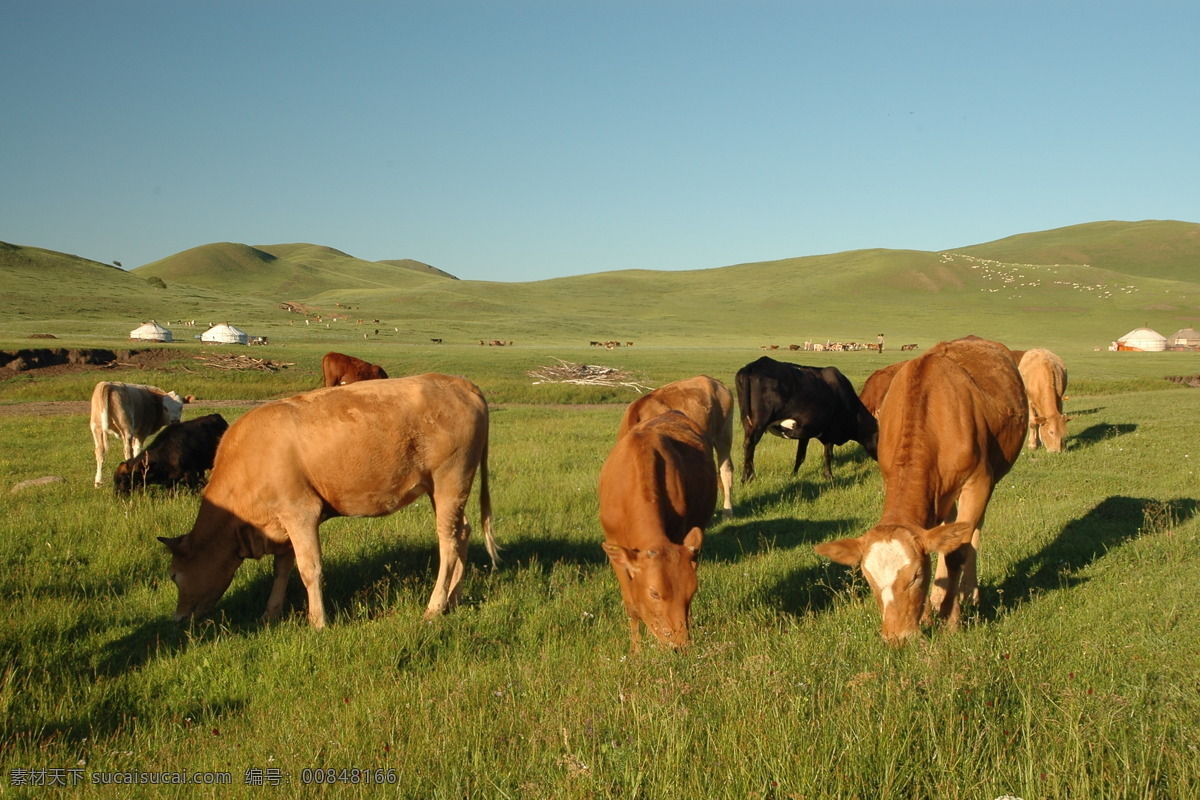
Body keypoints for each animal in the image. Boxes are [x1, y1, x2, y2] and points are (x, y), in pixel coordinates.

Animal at [159, 376, 496, 633]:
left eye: (174, 575)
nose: (177, 619)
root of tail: (462, 383)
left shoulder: (300, 512)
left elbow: (309, 568)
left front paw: (318, 621)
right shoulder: (282, 521)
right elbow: (282, 568)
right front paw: (270, 614)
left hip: (450, 479)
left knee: (448, 541)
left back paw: (435, 606)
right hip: (443, 489)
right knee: (462, 532)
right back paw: (454, 598)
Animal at [597, 412, 710, 652]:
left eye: (692, 591)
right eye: (654, 593)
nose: (680, 645)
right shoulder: (613, 545)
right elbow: (632, 606)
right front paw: (636, 651)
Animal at [729, 357, 883, 482]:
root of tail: (753, 366)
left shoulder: (806, 432)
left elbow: (800, 456)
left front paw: (793, 475)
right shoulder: (831, 430)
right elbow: (828, 454)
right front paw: (829, 476)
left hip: (748, 422)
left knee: (749, 447)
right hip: (759, 422)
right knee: (750, 445)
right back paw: (748, 478)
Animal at [811, 335, 1027, 642]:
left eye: (914, 576)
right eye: (869, 579)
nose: (896, 636)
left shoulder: (978, 481)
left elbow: (958, 551)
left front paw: (951, 618)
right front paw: (928, 611)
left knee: (974, 531)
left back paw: (968, 592)